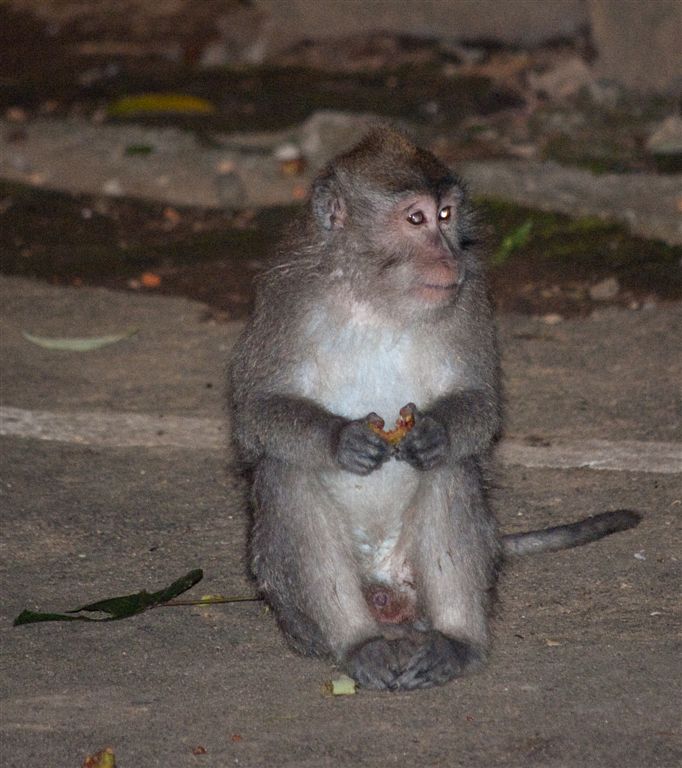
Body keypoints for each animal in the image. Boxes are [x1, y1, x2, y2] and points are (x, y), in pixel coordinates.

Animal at [228, 127, 640, 691]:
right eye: (415, 219)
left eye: (446, 214)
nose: (449, 258)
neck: (375, 300)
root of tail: (386, 590)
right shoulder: (285, 295)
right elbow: (255, 412)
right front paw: (341, 439)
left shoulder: (468, 295)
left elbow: (481, 406)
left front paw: (436, 432)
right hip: (292, 604)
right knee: (287, 471)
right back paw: (359, 642)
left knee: (450, 470)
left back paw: (456, 641)